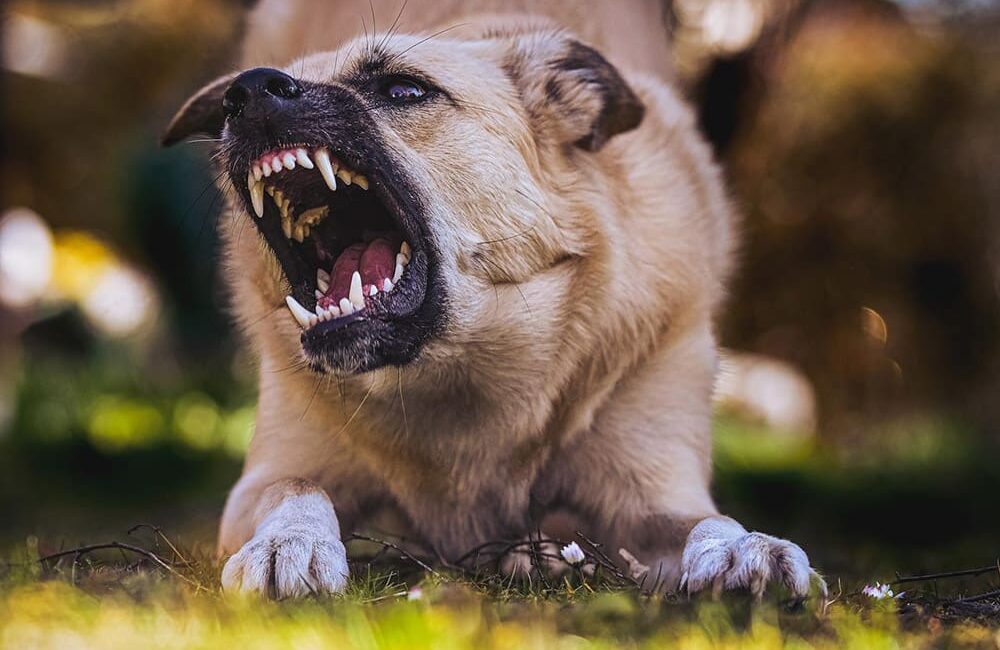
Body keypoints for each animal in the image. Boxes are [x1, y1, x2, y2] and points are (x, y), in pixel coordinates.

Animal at [162, 0, 820, 596]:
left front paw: (743, 548)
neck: (457, 374)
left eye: (404, 89)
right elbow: (297, 489)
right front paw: (287, 542)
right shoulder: (269, 477)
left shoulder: (653, 493)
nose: (247, 92)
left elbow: (707, 520)